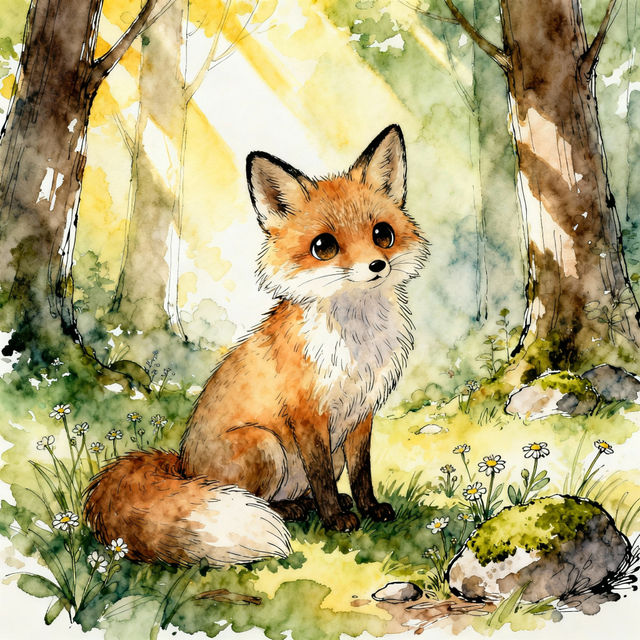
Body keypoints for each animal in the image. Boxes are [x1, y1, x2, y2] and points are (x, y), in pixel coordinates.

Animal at [83, 124, 429, 566]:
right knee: (263, 499)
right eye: (324, 246)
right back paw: (296, 509)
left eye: (382, 234)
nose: (376, 266)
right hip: (266, 445)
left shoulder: (362, 411)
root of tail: (182, 466)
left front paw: (368, 508)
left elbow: (362, 472)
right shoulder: (306, 413)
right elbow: (320, 477)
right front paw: (335, 520)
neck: (357, 340)